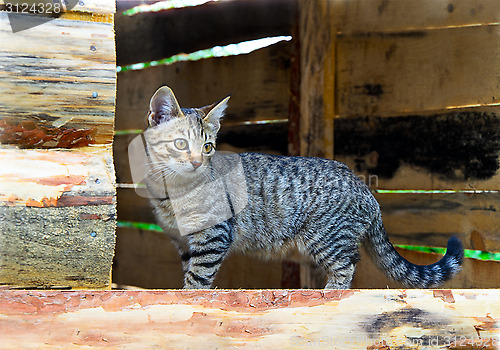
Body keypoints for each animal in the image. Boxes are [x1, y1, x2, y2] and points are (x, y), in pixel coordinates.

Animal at [139, 86, 462, 288]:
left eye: (207, 147)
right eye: (181, 144)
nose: (196, 162)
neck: (170, 192)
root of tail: (362, 184)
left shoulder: (213, 235)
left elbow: (198, 277)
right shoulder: (184, 243)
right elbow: (189, 272)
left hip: (327, 237)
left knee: (347, 266)